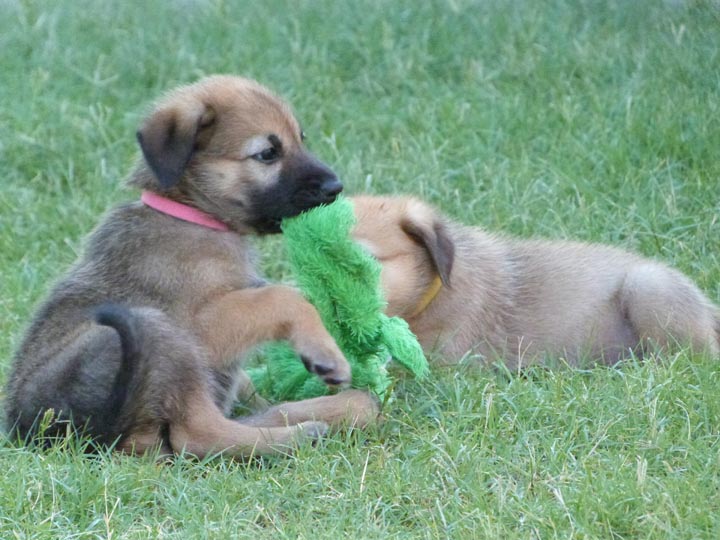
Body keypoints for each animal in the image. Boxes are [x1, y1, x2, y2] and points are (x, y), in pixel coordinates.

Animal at [5, 74, 380, 458]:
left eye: (300, 140)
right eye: (267, 154)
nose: (335, 187)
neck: (192, 215)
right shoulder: (204, 324)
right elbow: (282, 297)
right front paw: (325, 351)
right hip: (154, 331)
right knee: (198, 434)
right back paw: (302, 433)